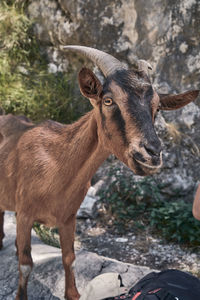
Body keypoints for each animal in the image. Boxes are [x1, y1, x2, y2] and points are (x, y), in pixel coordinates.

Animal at [0, 45, 198, 300]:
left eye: (157, 107)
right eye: (108, 100)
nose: (152, 153)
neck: (55, 164)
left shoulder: (68, 217)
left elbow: (69, 258)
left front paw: (73, 293)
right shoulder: (25, 214)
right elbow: (26, 264)